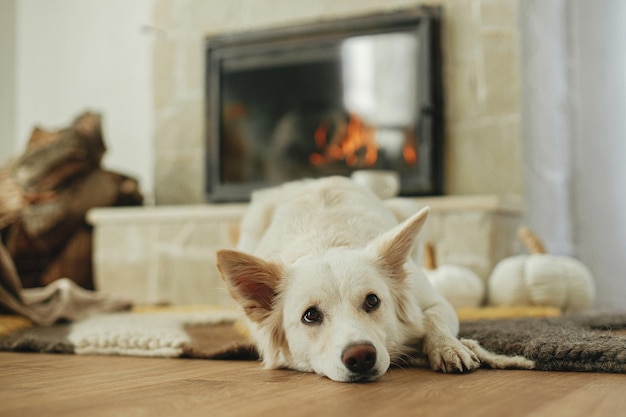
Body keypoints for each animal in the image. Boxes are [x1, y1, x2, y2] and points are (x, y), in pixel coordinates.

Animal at [216, 176, 532, 380]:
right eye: (310, 315)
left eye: (372, 301)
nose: (360, 357)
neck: (327, 243)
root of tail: (312, 178)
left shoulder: (436, 301)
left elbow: (432, 318)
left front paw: (447, 347)